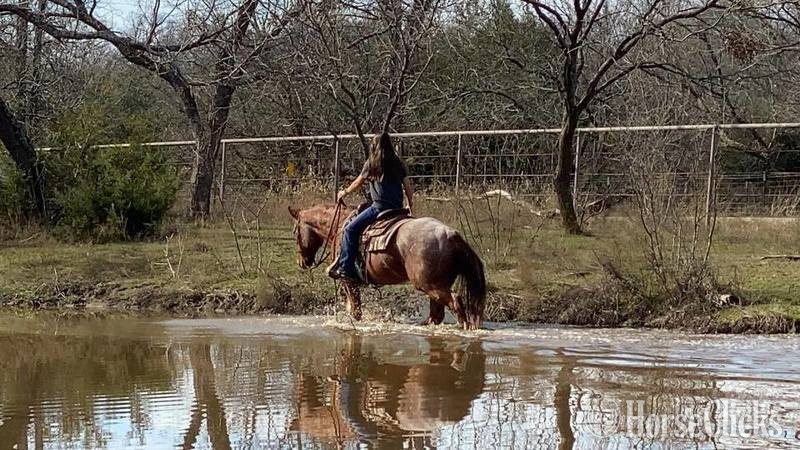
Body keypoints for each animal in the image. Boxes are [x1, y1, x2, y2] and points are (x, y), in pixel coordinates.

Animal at [288, 203, 487, 330]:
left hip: (431, 285)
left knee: (456, 301)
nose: (302, 262)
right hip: (436, 287)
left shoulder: (348, 280)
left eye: (295, 232)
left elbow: (356, 311)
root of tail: (452, 235)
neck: (339, 226)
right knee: (436, 314)